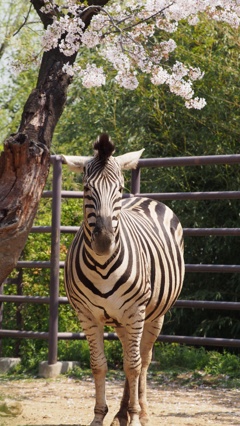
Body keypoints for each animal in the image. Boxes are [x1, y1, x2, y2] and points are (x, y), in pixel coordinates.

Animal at [62, 134, 185, 426]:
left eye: (118, 189)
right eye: (86, 188)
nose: (104, 242)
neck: (103, 266)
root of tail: (142, 198)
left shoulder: (135, 311)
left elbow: (133, 365)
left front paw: (137, 416)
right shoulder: (87, 314)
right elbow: (99, 365)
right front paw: (100, 416)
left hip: (153, 315)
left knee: (143, 359)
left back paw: (141, 411)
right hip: (121, 321)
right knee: (132, 354)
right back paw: (121, 413)